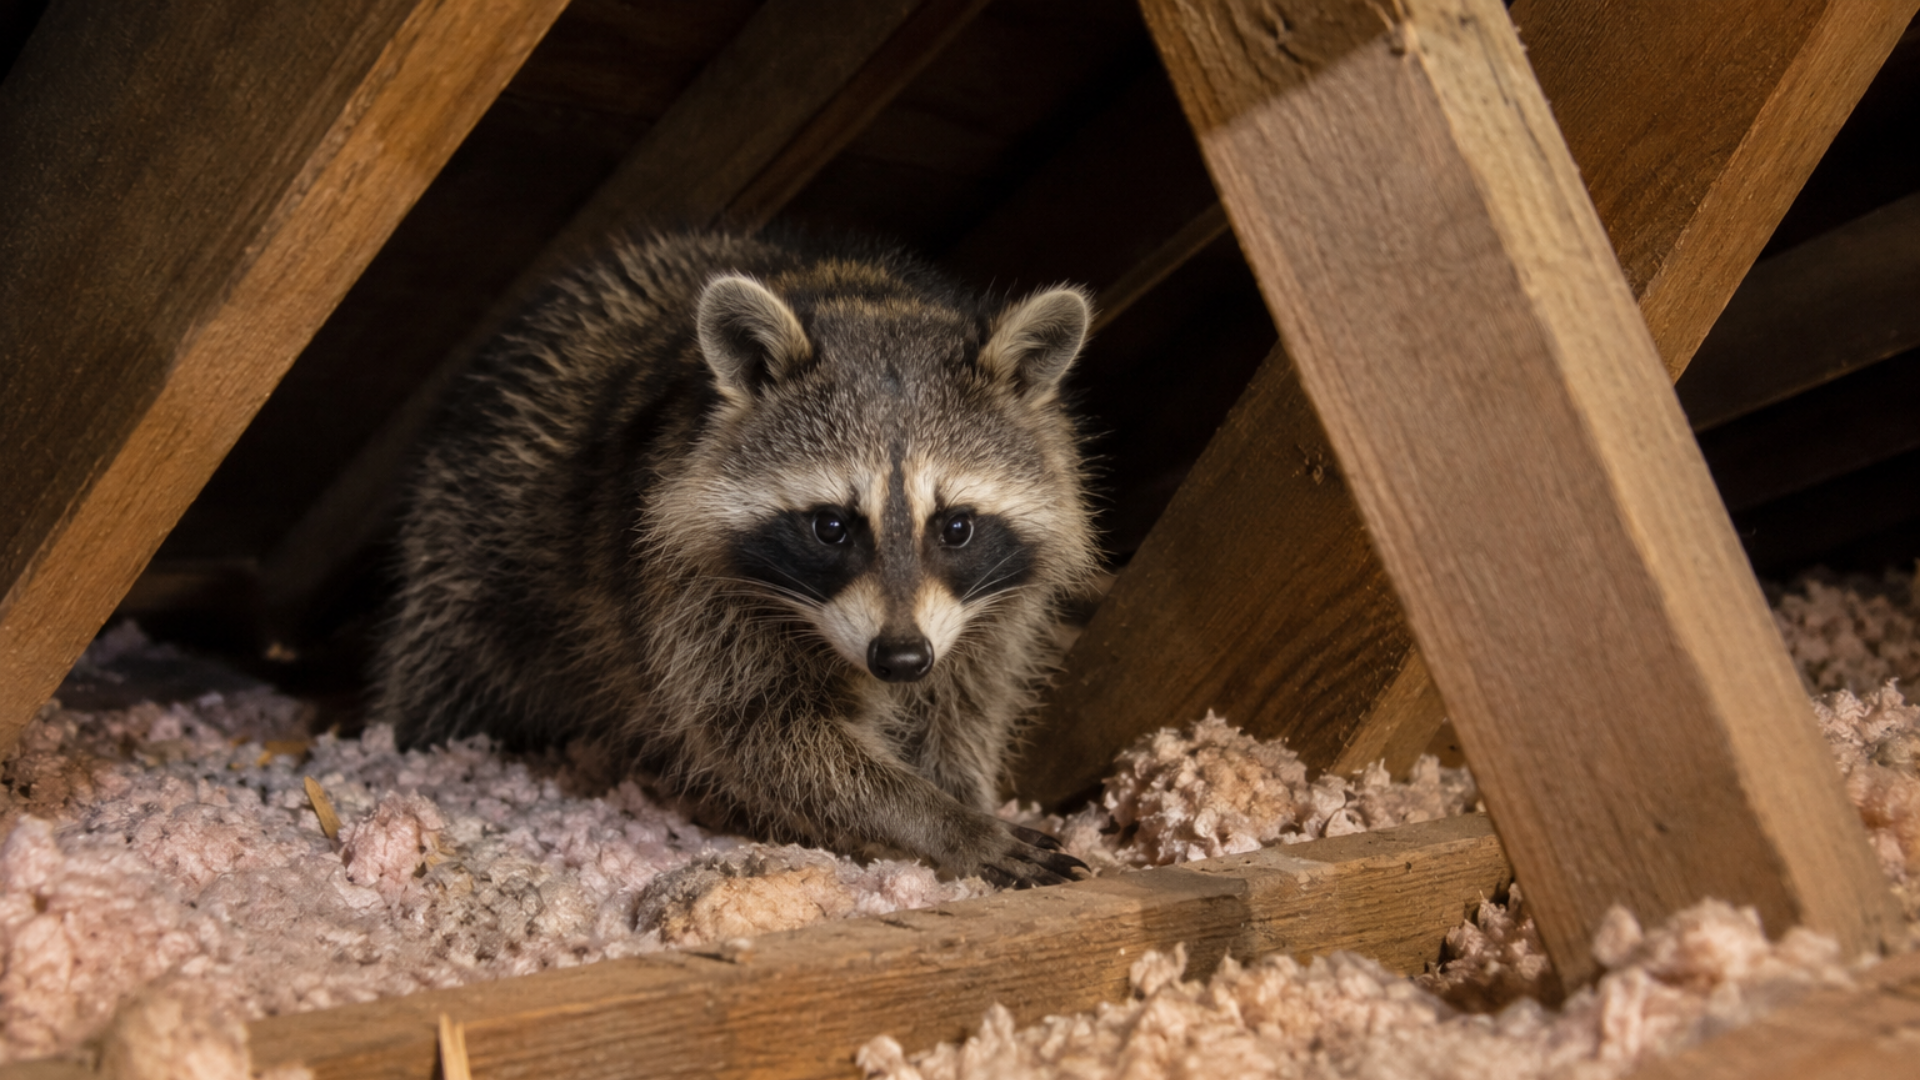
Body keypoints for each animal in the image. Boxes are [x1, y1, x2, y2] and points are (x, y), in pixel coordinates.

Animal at [372, 231, 1100, 887]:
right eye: (831, 527)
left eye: (956, 527)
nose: (900, 659)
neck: (871, 300)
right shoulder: (679, 587)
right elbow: (761, 737)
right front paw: (943, 823)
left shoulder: (990, 610)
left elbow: (966, 702)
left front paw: (963, 793)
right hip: (468, 541)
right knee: (447, 666)